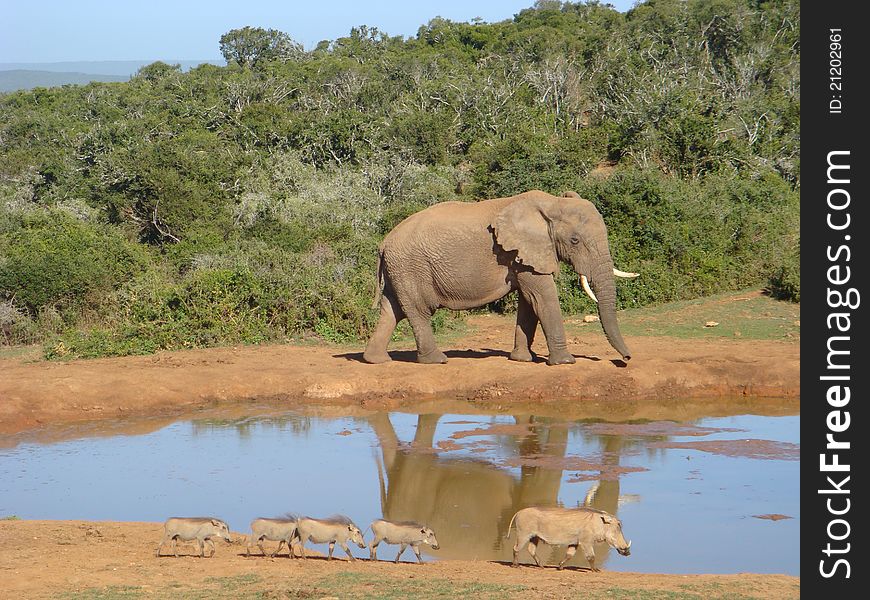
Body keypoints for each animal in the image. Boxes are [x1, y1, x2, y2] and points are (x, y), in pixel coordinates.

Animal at [364, 190, 636, 366]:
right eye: (575, 241)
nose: (626, 359)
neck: (551, 203)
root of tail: (383, 244)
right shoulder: (520, 251)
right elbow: (542, 297)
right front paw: (564, 363)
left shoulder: (523, 257)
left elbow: (529, 302)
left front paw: (523, 359)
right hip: (411, 267)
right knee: (418, 310)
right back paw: (437, 360)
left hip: (400, 270)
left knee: (392, 310)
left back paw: (376, 360)